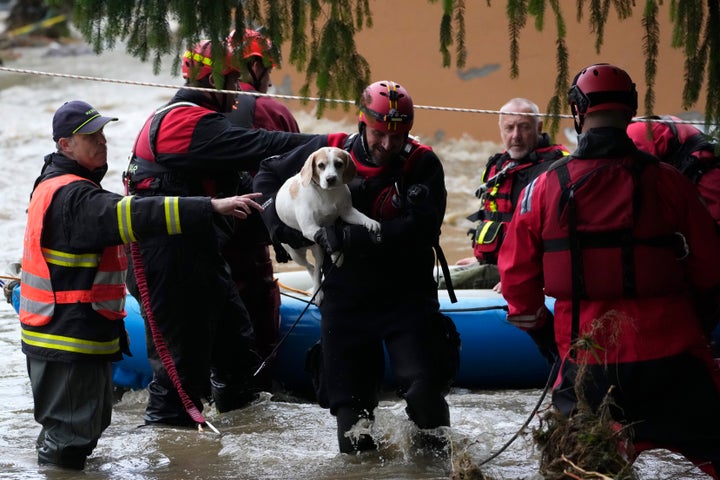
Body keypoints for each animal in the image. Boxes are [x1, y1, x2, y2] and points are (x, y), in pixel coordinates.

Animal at [274, 146, 380, 304]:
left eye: (339, 164)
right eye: (320, 165)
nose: (330, 179)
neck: (327, 193)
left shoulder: (347, 213)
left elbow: (357, 220)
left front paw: (371, 222)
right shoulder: (310, 228)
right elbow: (327, 236)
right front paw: (336, 254)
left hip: (318, 252)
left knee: (316, 269)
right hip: (296, 254)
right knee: (311, 269)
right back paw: (317, 294)